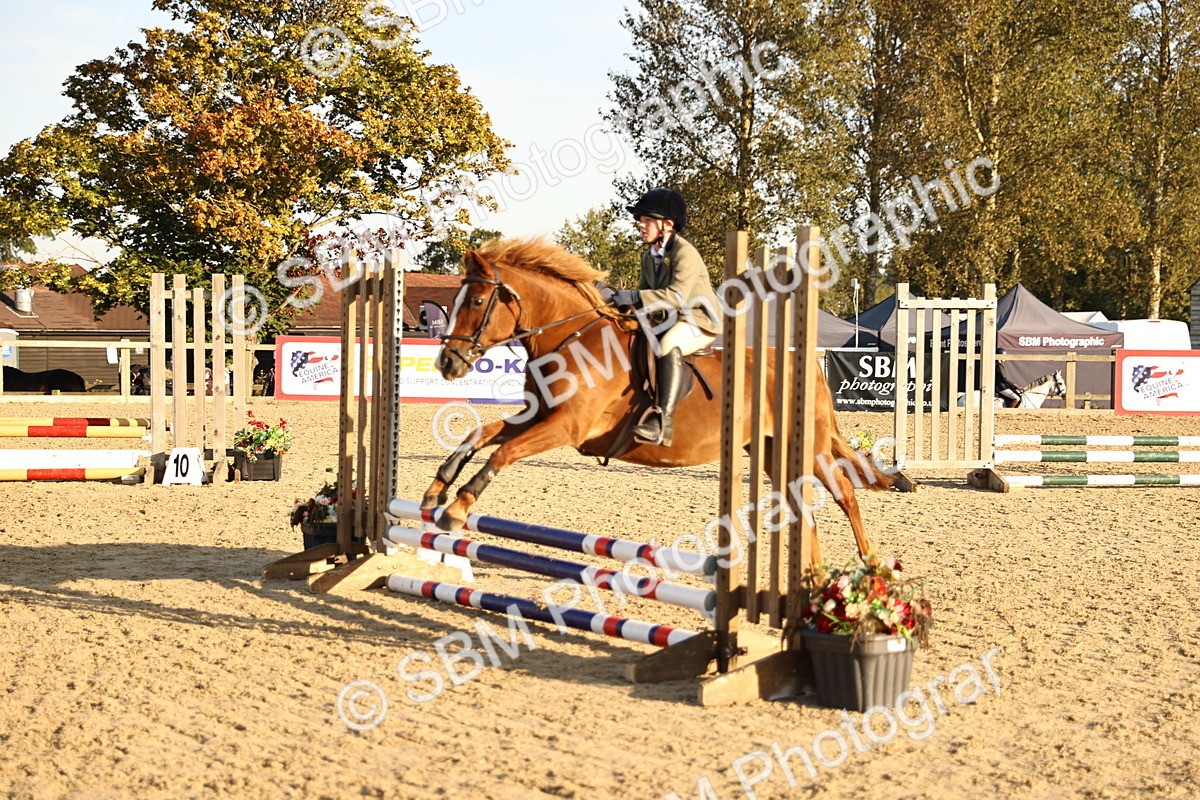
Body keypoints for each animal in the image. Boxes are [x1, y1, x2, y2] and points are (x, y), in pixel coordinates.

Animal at [422, 238, 894, 566]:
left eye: (477, 301)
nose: (447, 362)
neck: (571, 338)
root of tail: (808, 363)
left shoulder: (567, 427)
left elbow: (503, 453)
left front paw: (458, 508)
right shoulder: (538, 416)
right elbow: (480, 434)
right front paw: (435, 490)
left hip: (809, 449)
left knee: (845, 493)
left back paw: (869, 564)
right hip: (770, 448)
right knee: (801, 505)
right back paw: (813, 576)